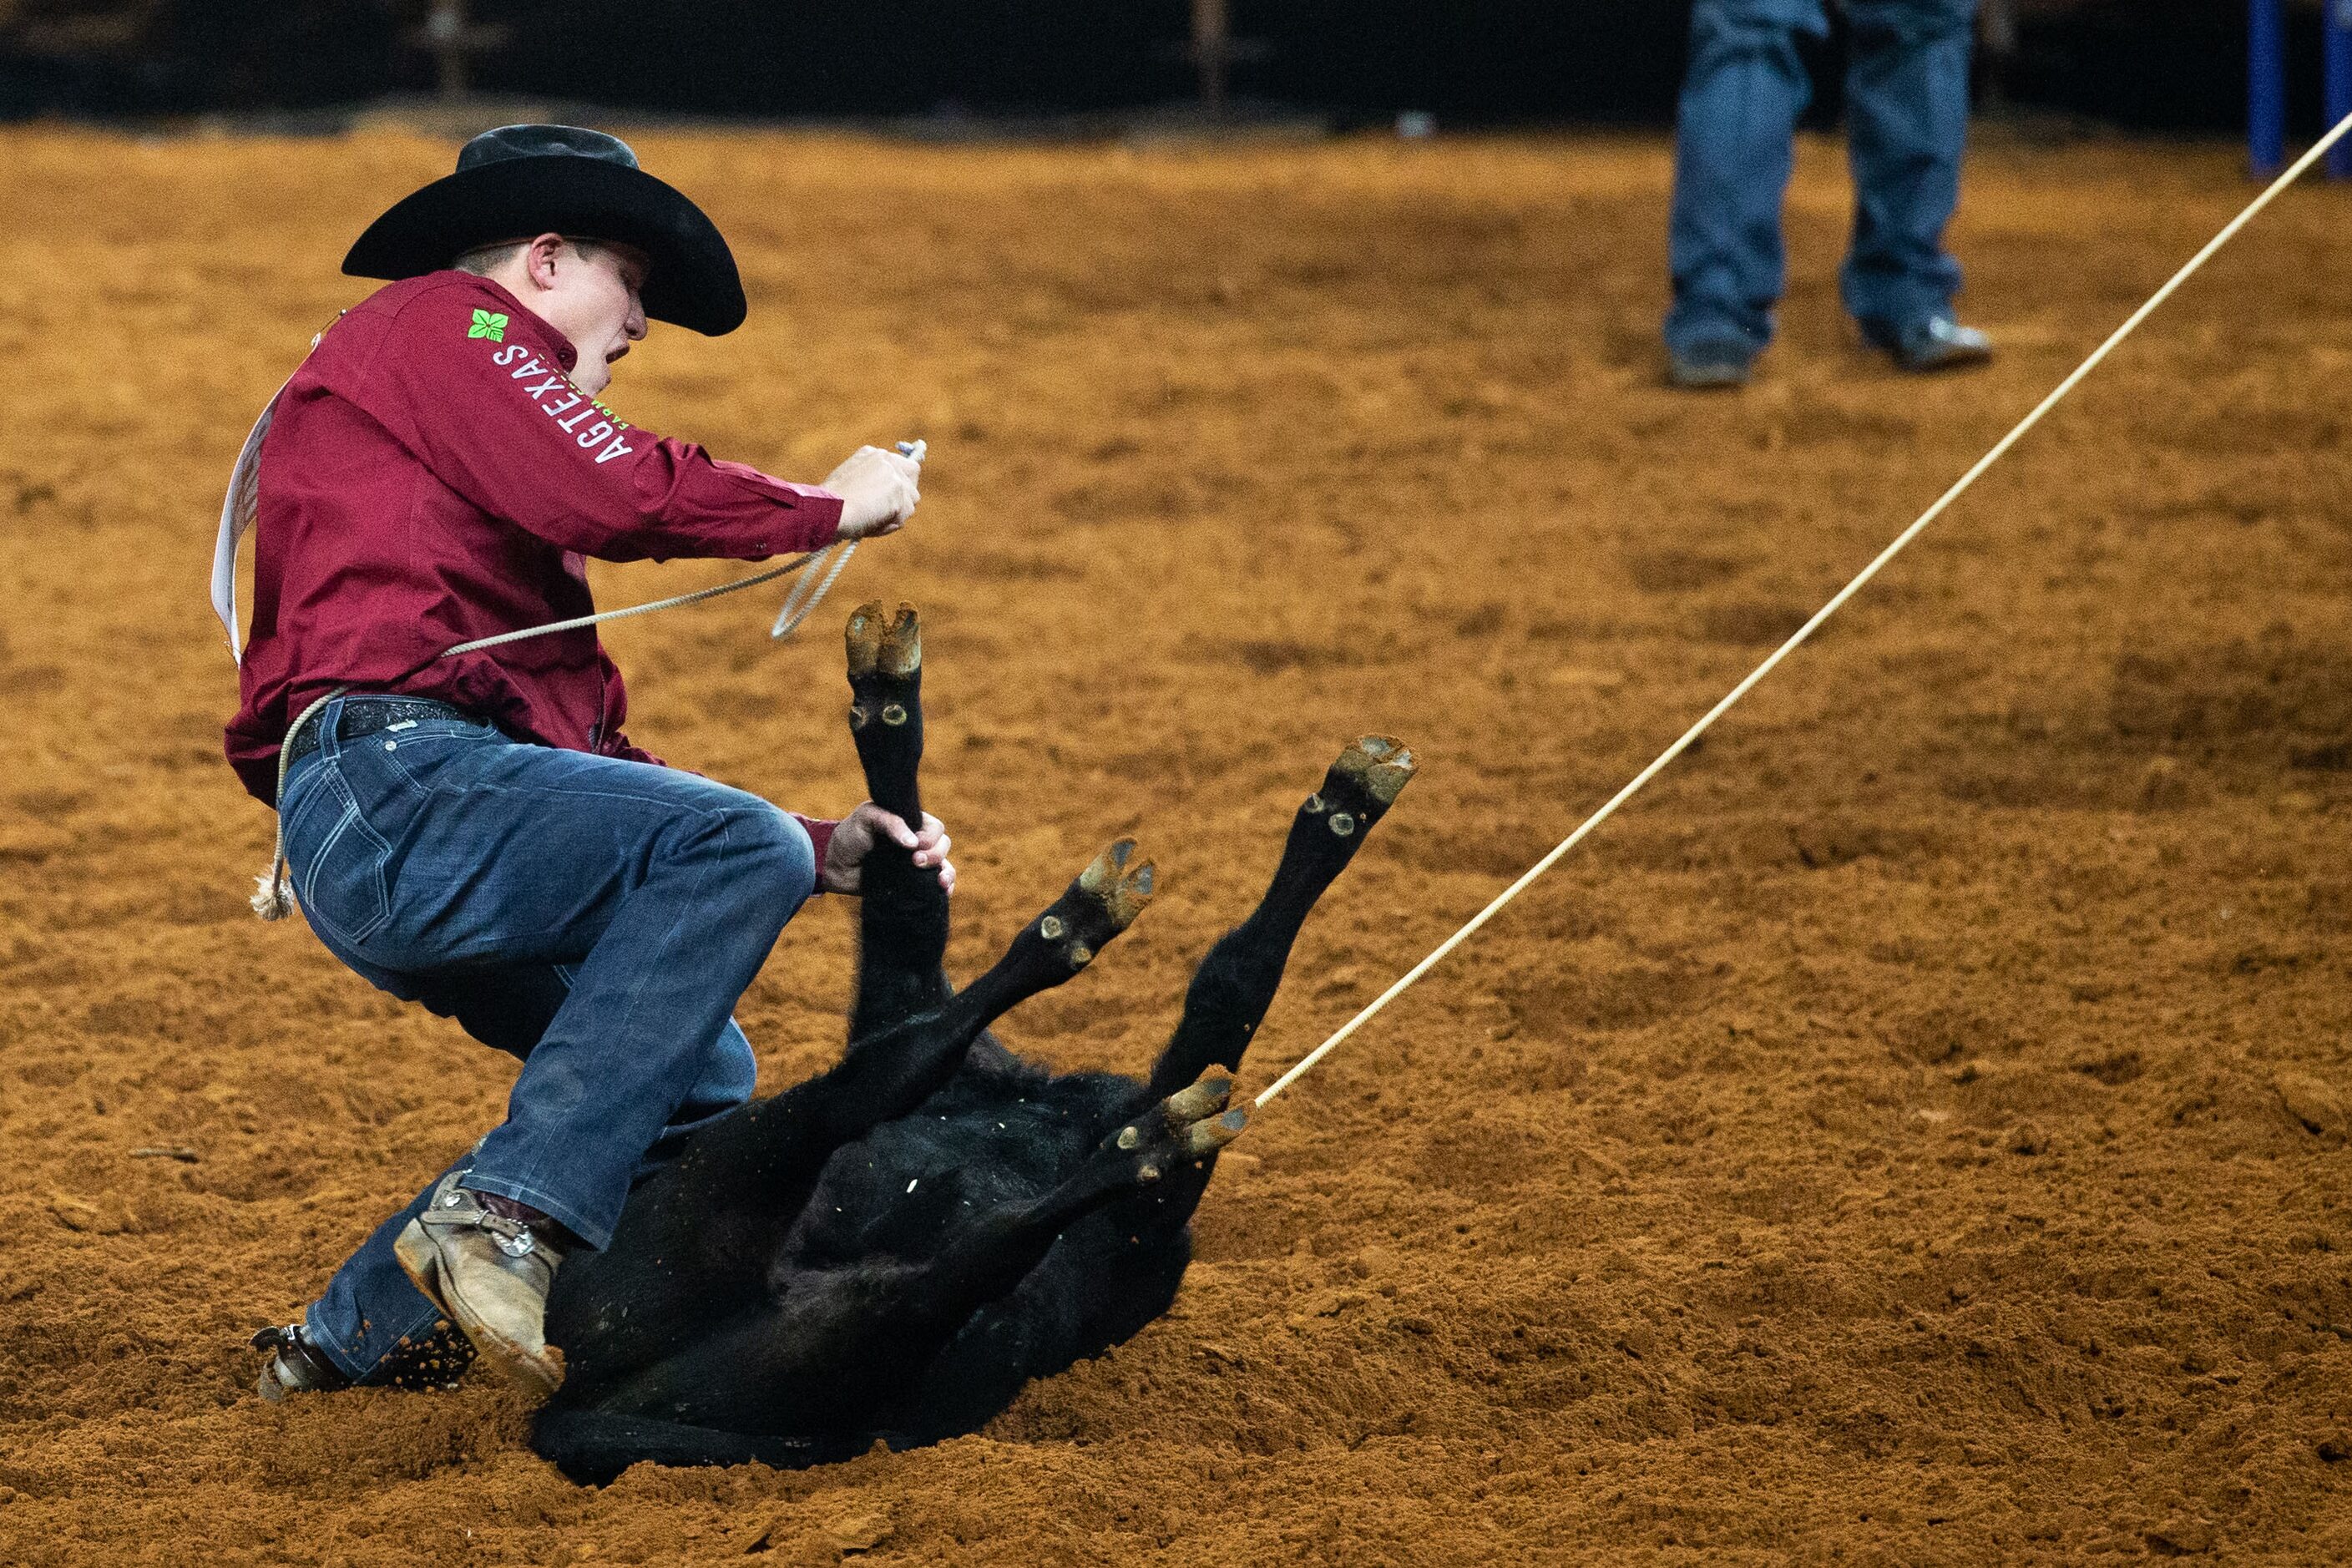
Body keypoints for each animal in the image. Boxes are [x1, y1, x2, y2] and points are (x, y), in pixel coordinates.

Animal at [534, 601, 1411, 1485]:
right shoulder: (1140, 1217)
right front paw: (1341, 809)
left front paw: (1344, 805)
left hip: (766, 1302)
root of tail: (568, 1401)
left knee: (928, 1196)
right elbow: (1229, 996)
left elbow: (1221, 995)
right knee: (928, 1156)